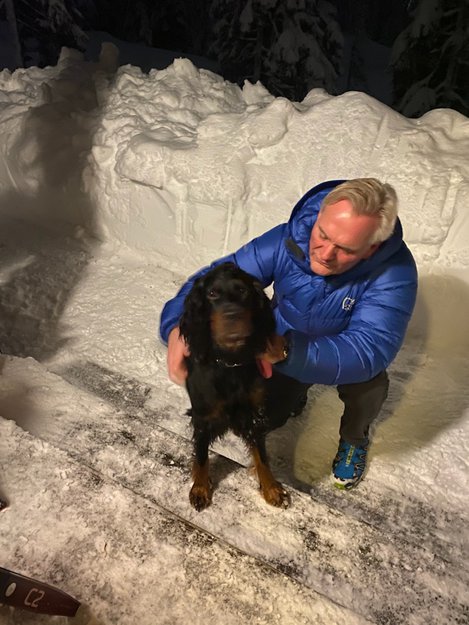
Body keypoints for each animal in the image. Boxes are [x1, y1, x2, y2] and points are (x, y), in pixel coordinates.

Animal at [179, 262, 290, 511]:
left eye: (243, 291)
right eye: (212, 293)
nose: (232, 315)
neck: (230, 363)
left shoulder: (254, 413)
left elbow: (262, 454)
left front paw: (271, 487)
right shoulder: (203, 416)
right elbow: (201, 454)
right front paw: (200, 488)